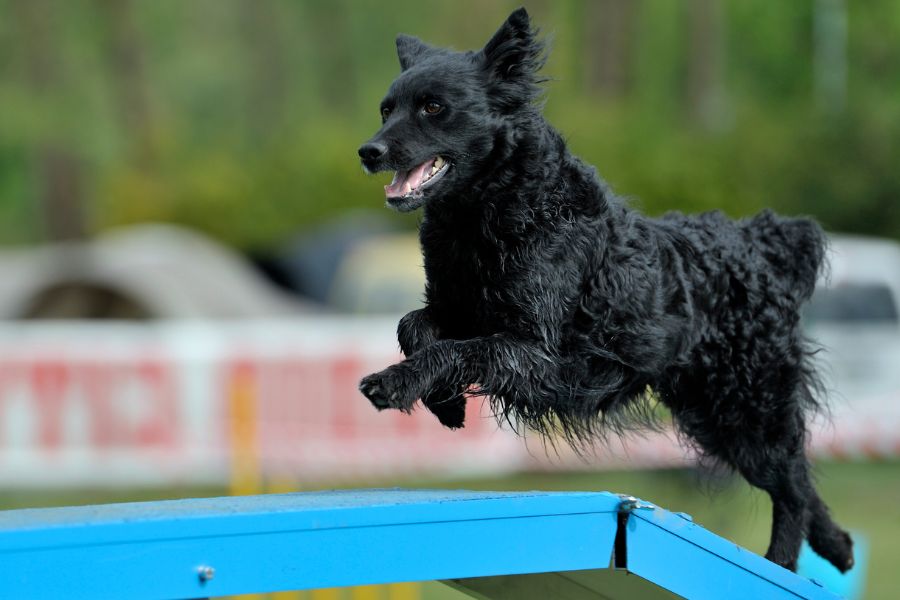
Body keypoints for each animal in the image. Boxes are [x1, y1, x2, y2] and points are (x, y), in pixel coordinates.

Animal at [356, 7, 852, 576]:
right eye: (386, 109)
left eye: (433, 107)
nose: (368, 151)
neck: (493, 210)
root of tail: (759, 240)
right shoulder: (457, 310)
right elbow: (414, 326)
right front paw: (447, 405)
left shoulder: (535, 350)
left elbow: (456, 351)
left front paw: (397, 384)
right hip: (716, 416)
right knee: (796, 476)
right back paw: (837, 546)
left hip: (748, 404)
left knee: (790, 483)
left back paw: (781, 565)